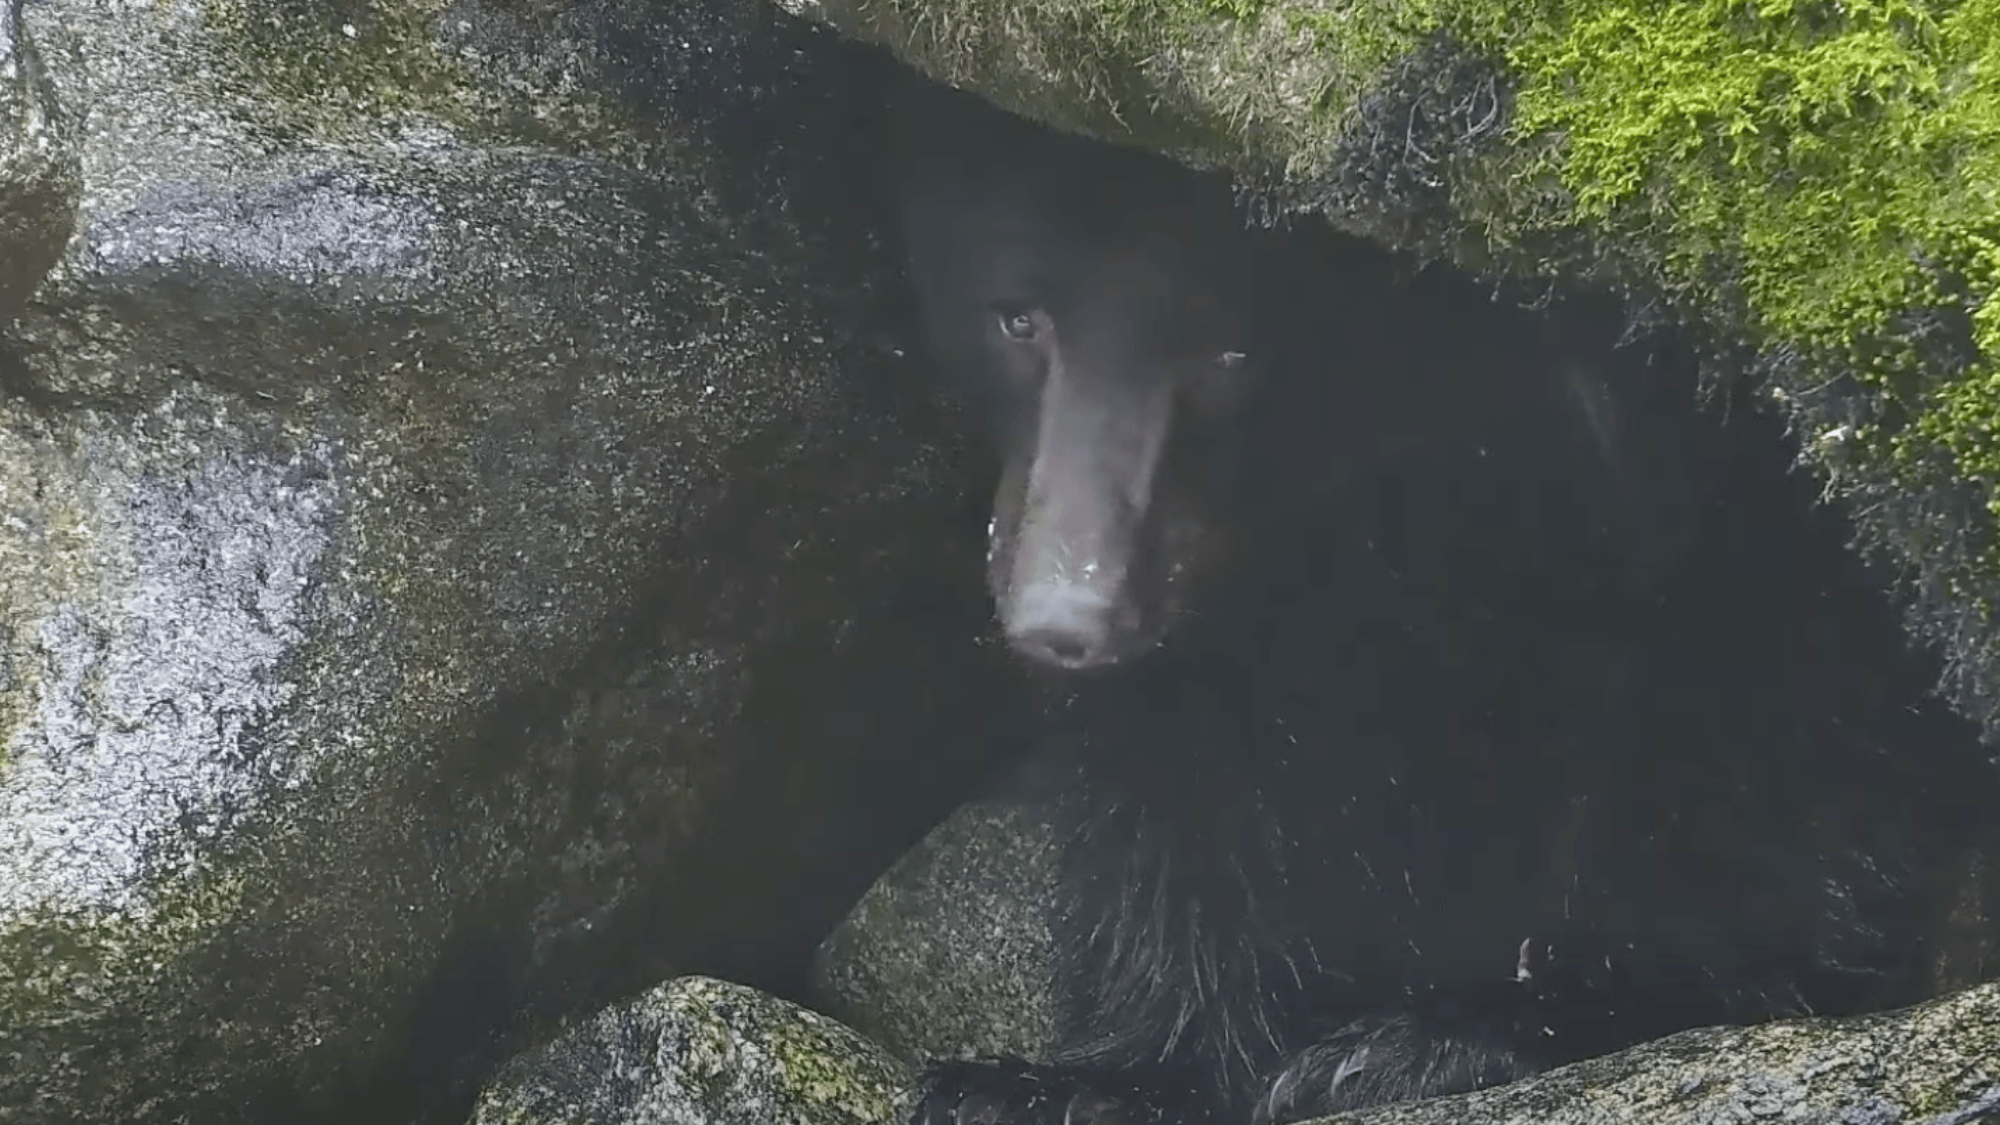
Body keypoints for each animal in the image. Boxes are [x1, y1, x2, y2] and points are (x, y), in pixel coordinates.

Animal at [887, 73, 1995, 1125]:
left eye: (1233, 353)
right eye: (1016, 317)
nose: (1067, 620)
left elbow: (1767, 718)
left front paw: (1461, 1030)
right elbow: (1206, 752)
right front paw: (1084, 1076)